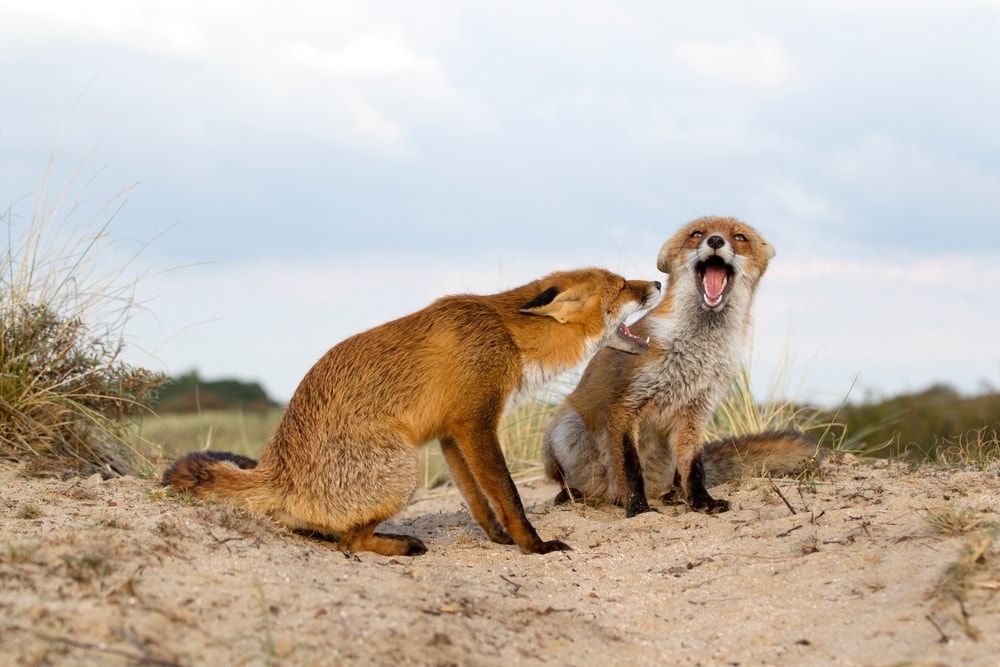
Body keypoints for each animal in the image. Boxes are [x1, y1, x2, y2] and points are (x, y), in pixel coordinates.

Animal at [162, 268, 661, 557]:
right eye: (622, 286)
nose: (657, 283)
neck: (507, 336)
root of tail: (275, 471)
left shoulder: (451, 432)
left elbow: (480, 502)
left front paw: (499, 541)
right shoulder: (476, 423)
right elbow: (510, 496)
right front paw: (533, 546)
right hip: (403, 468)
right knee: (348, 541)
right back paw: (399, 545)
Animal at [542, 217, 819, 517]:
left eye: (739, 237)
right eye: (696, 234)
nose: (715, 241)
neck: (698, 351)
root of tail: (610, 495)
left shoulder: (696, 412)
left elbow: (694, 468)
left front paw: (702, 502)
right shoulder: (626, 405)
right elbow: (631, 469)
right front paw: (639, 509)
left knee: (673, 479)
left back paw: (673, 495)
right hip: (563, 430)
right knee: (573, 481)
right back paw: (574, 495)